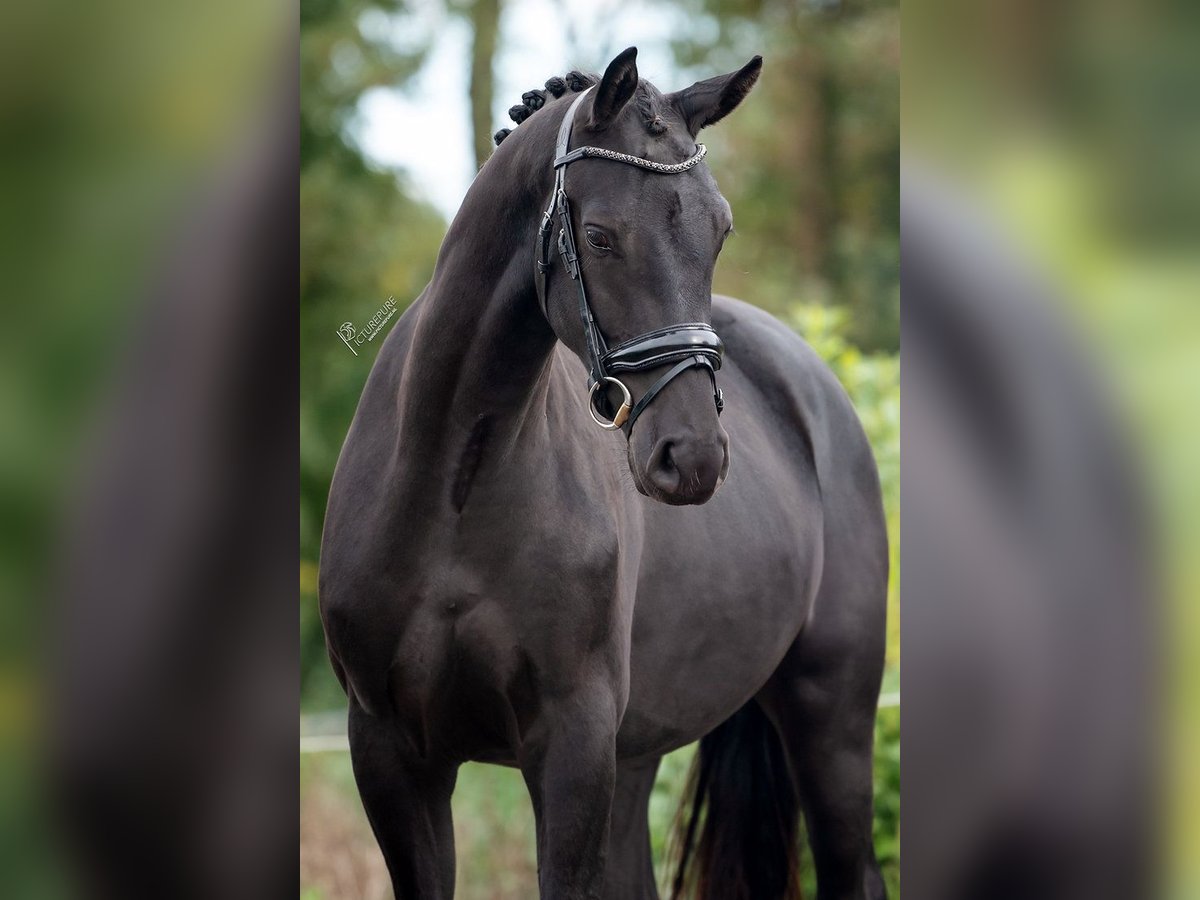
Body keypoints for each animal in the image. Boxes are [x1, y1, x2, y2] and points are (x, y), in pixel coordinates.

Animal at [324, 47, 888, 900]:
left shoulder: (573, 745)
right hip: (638, 758)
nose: (693, 456)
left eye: (720, 230)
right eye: (598, 236)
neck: (452, 490)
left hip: (834, 725)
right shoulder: (391, 754)